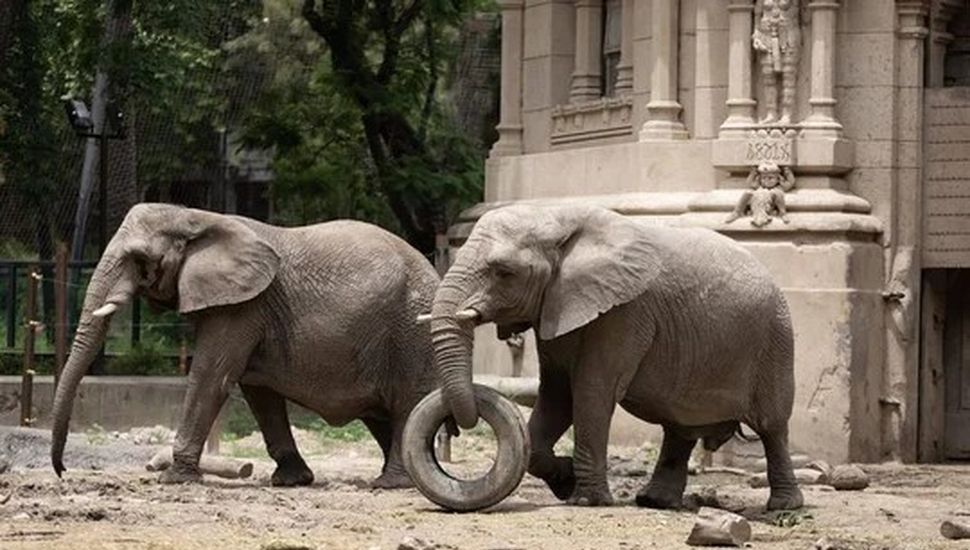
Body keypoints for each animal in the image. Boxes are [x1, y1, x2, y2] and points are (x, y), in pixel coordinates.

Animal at [53, 205, 438, 490]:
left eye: (138, 259)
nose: (62, 472)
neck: (195, 216)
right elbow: (257, 390)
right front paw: (291, 481)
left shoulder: (243, 307)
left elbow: (211, 376)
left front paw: (174, 478)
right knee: (380, 415)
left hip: (412, 332)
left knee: (406, 404)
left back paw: (391, 483)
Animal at [424, 205, 800, 512]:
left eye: (503, 271)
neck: (557, 216)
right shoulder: (557, 306)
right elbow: (557, 396)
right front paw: (565, 481)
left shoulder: (625, 312)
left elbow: (592, 391)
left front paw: (585, 500)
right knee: (680, 427)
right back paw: (655, 501)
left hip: (776, 341)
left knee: (772, 426)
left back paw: (784, 507)